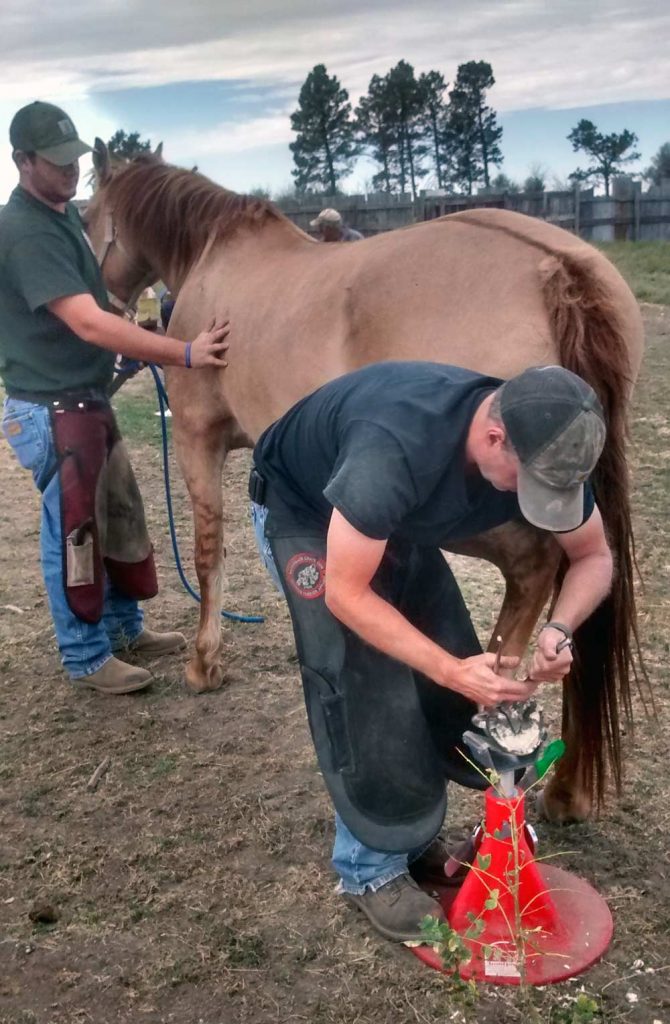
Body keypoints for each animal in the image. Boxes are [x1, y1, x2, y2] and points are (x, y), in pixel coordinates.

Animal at [84, 142, 647, 823]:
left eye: (87, 216)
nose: (102, 306)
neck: (216, 257)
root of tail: (556, 269)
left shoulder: (200, 438)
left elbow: (207, 553)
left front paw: (204, 663)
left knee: (535, 566)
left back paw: (495, 696)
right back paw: (564, 782)